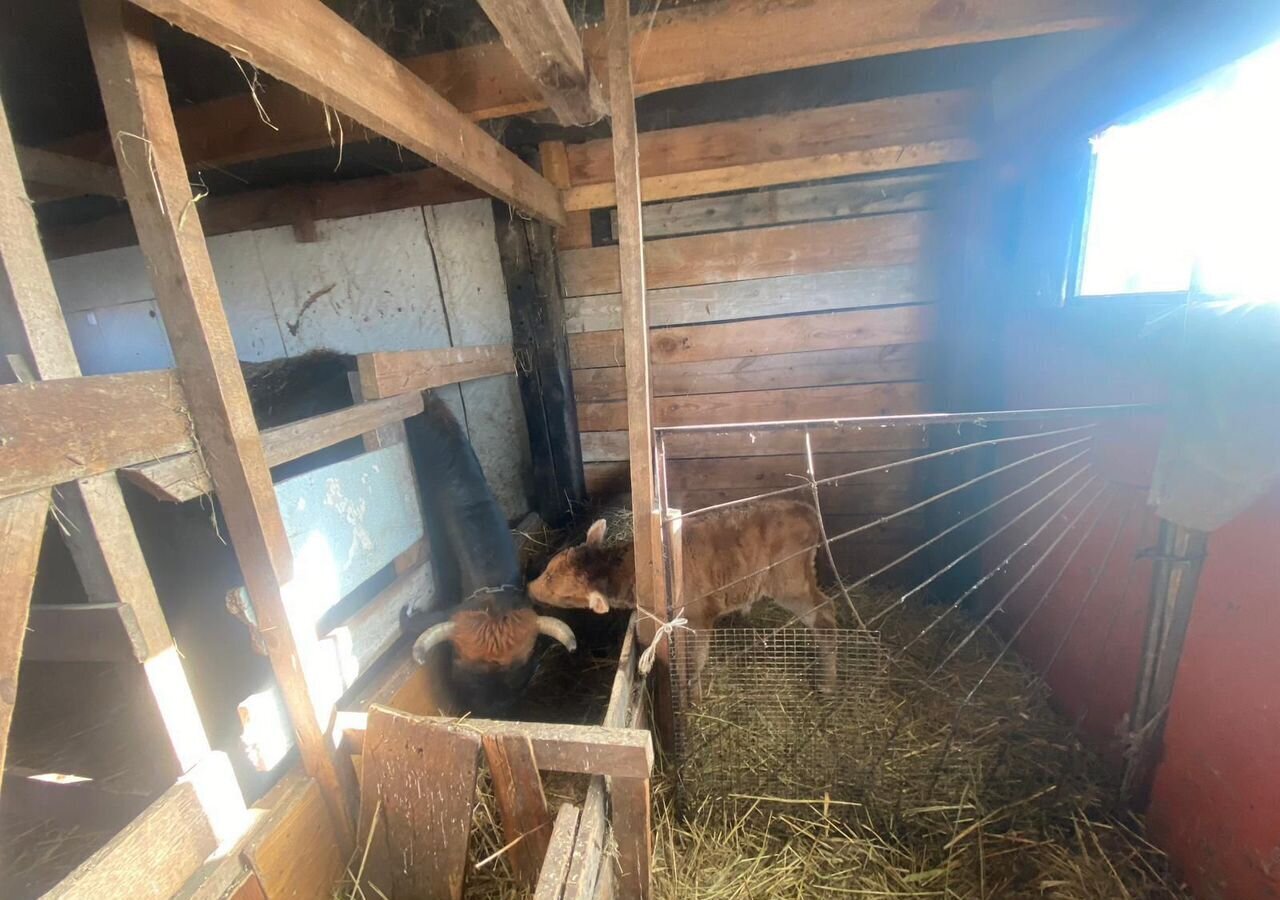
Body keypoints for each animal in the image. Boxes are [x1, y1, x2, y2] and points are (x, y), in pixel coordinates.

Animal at [524, 499, 834, 696]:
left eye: (553, 584)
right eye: (550, 567)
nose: (529, 587)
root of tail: (805, 509)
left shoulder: (700, 617)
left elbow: (697, 659)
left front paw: (693, 694)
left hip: (790, 582)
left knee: (826, 615)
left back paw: (827, 682)